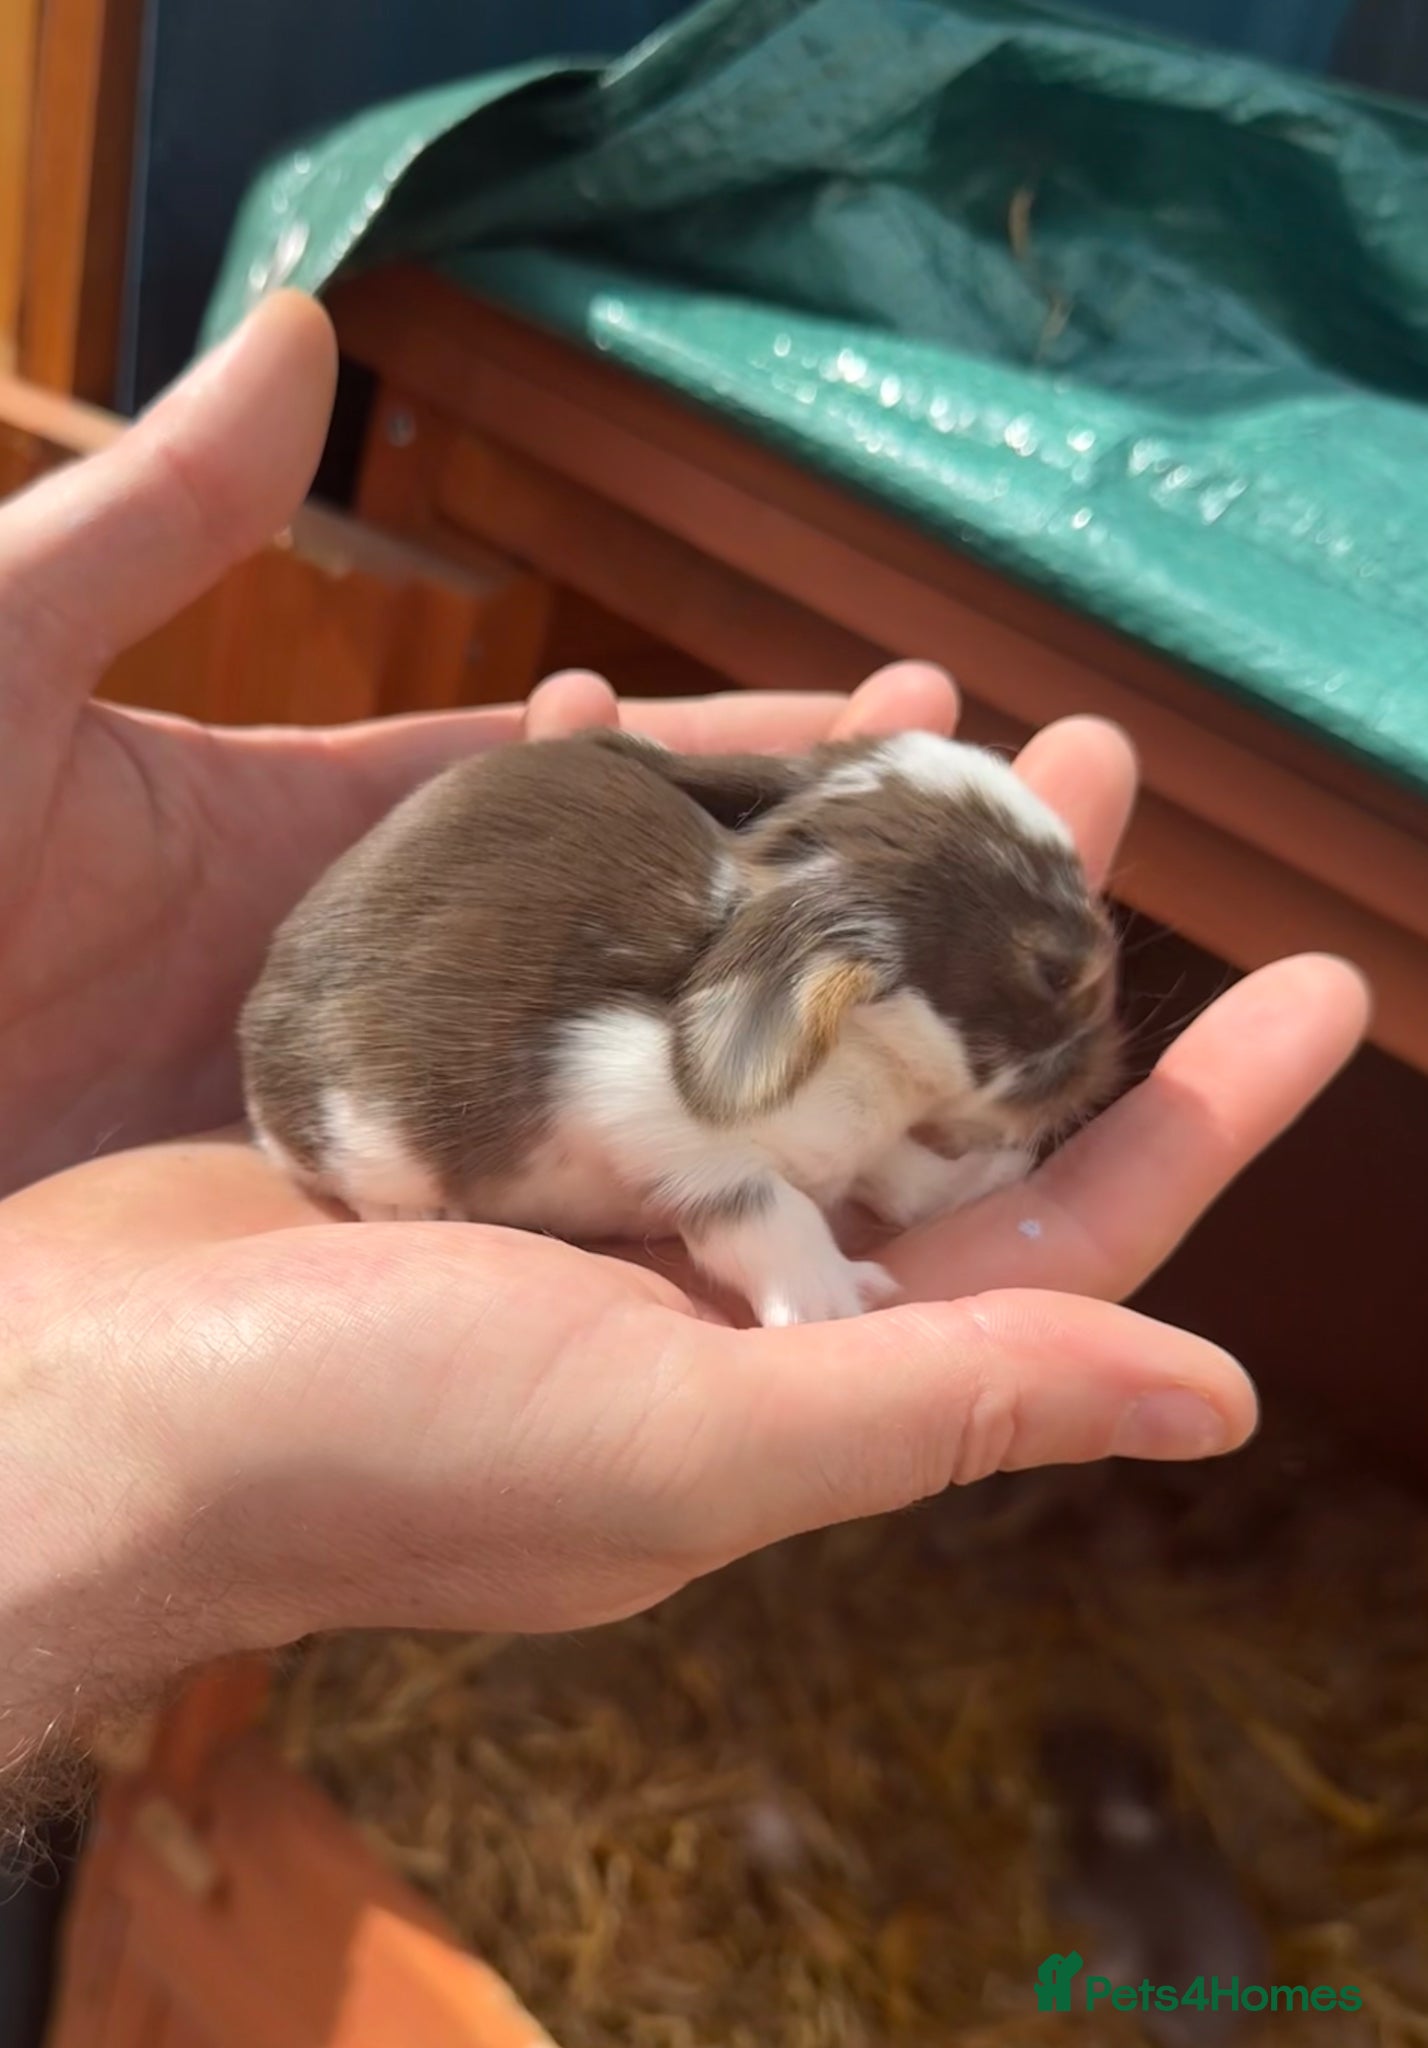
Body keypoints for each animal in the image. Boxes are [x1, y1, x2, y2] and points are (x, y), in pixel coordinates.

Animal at [239, 727, 1119, 1327]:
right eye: (1055, 974)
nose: (1104, 1070)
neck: (865, 1053)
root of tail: (253, 1024)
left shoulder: (873, 1143)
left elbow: (903, 1175)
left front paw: (978, 1181)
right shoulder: (628, 1096)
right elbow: (771, 1209)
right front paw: (834, 1300)